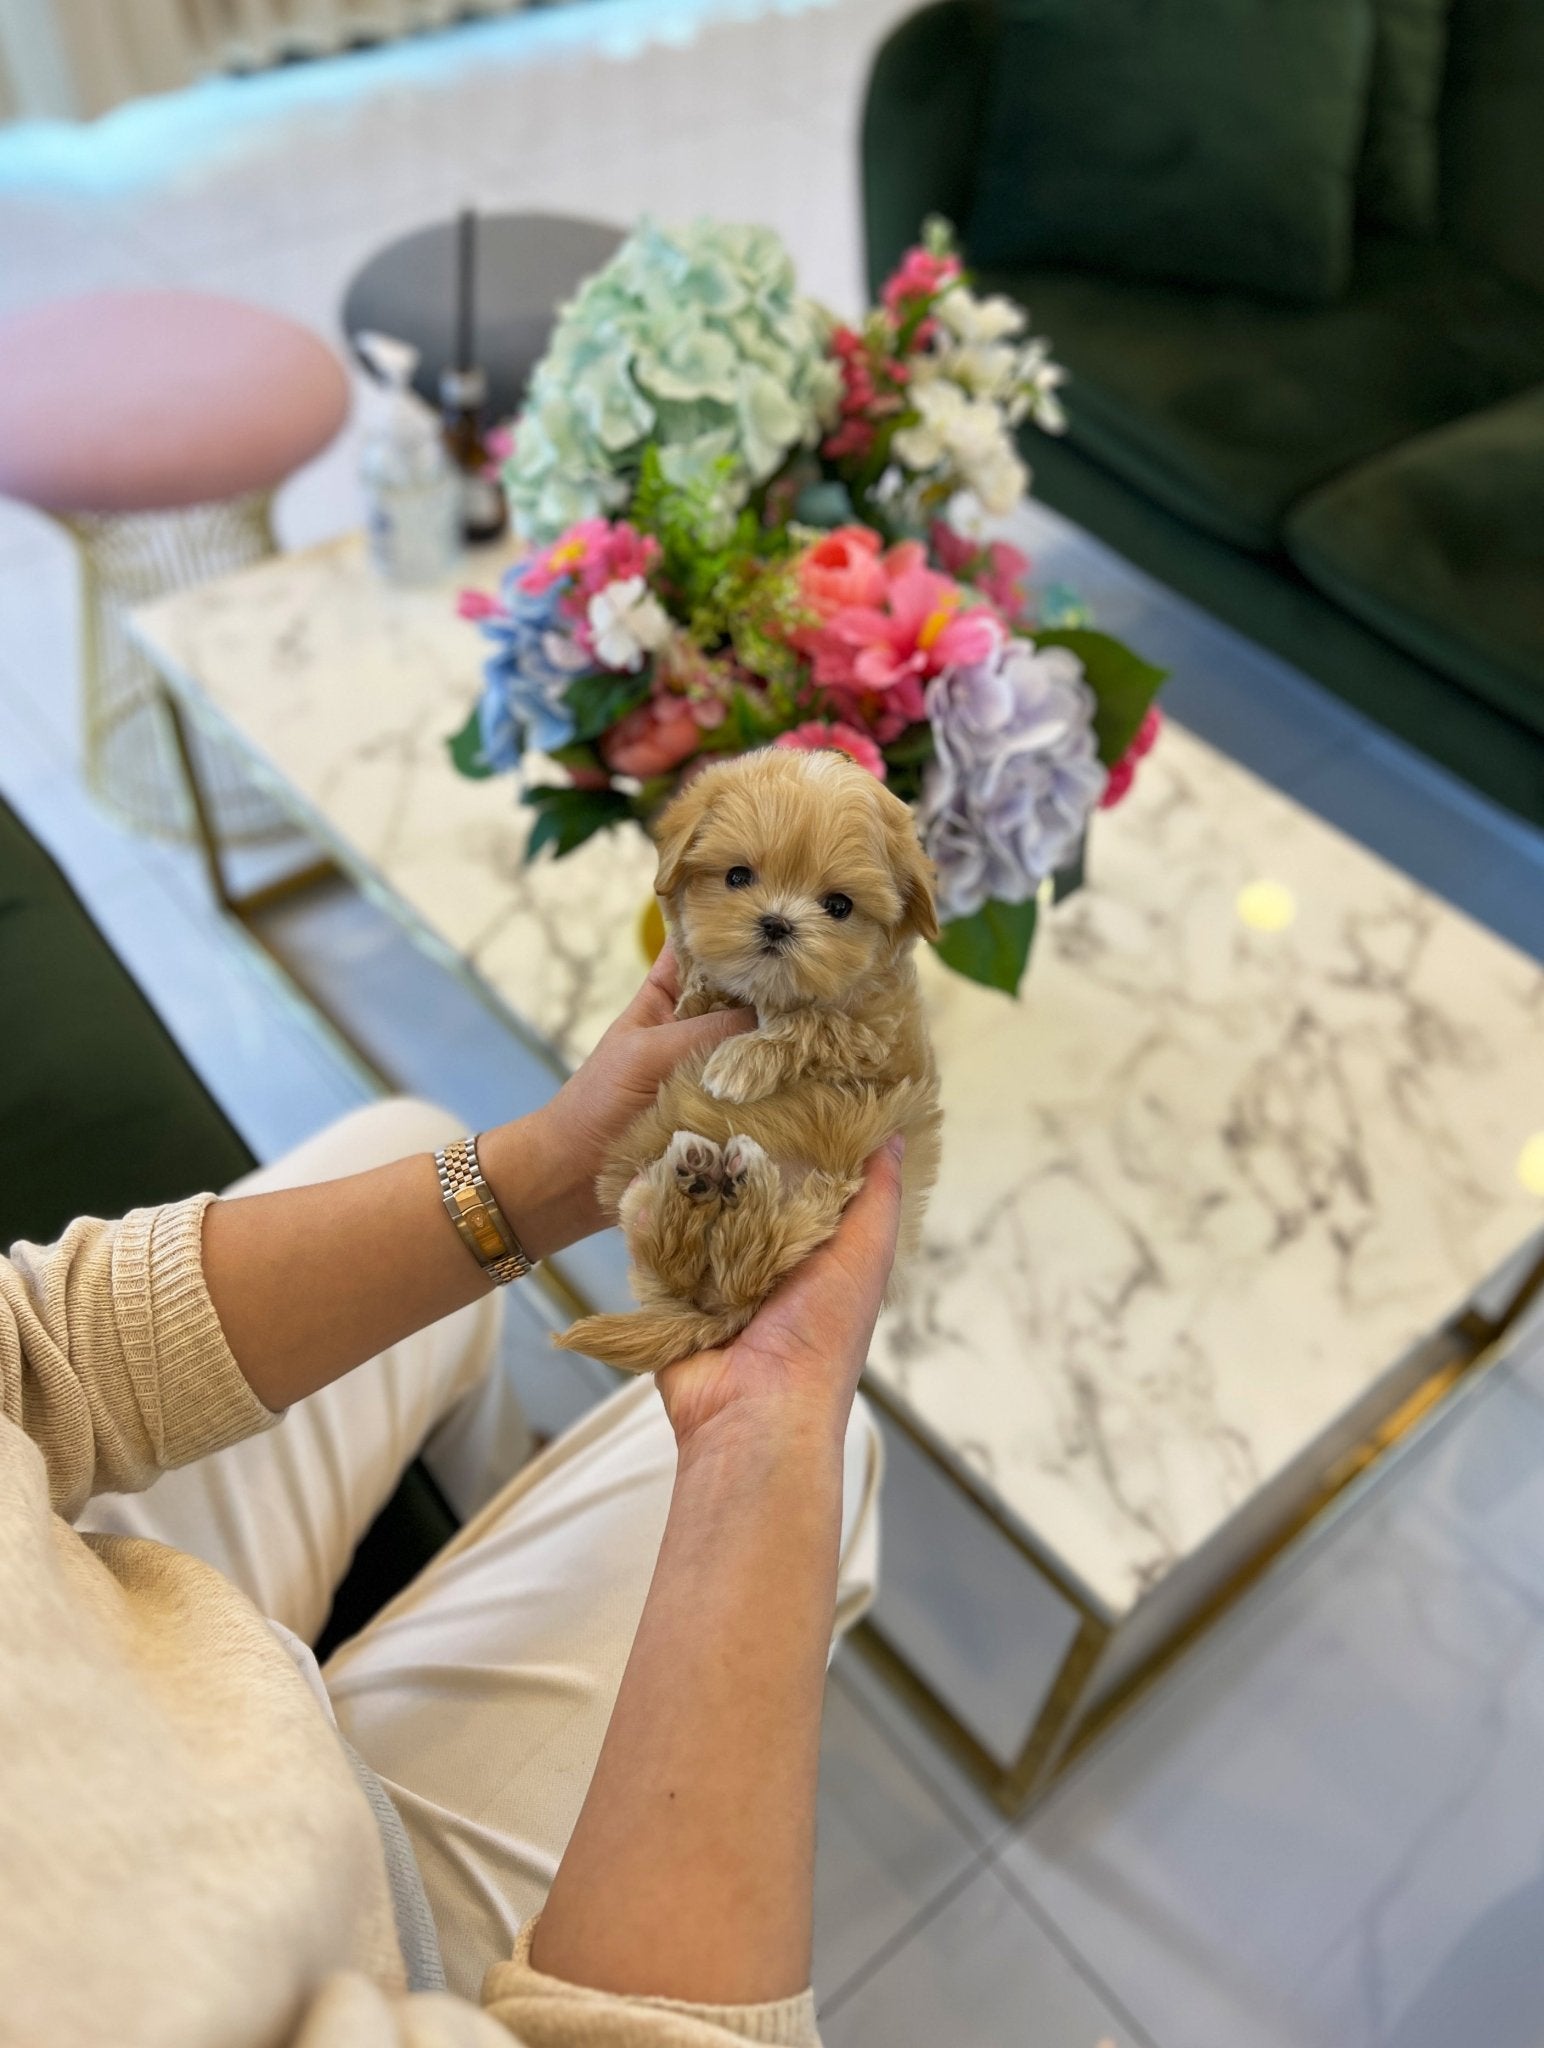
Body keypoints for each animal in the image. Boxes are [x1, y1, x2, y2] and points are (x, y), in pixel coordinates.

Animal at [552, 741, 937, 1376]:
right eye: (738, 876)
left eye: (838, 905)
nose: (777, 923)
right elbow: (697, 996)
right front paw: (704, 995)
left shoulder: (885, 1046)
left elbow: (817, 1024)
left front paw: (741, 1061)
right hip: (640, 1202)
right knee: (682, 1259)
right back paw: (698, 1181)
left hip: (824, 1201)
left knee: (751, 1263)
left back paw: (738, 1178)